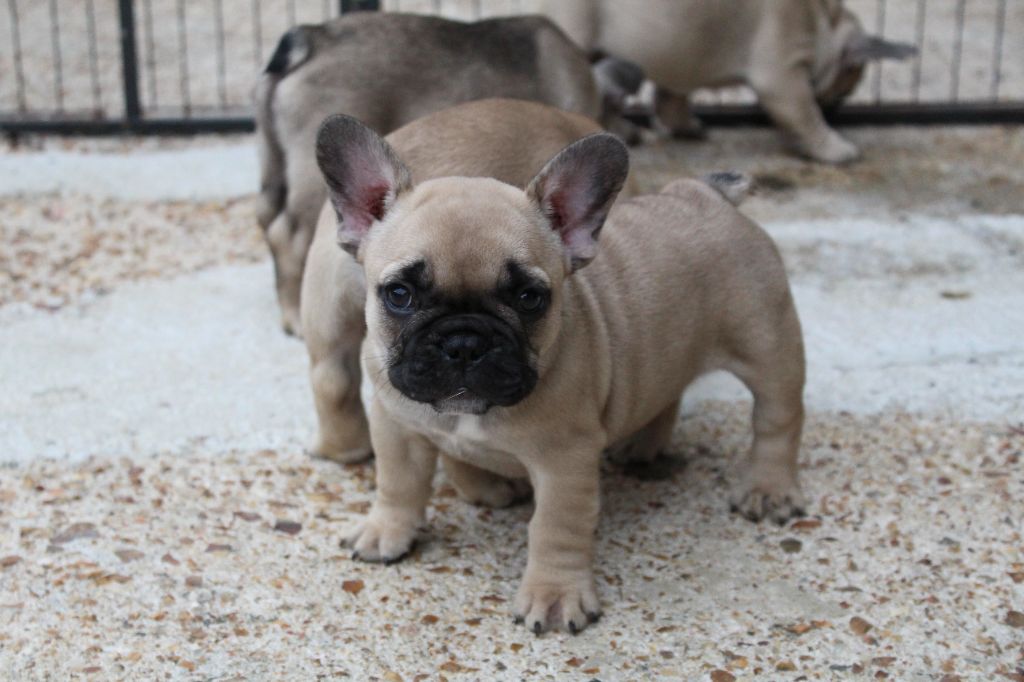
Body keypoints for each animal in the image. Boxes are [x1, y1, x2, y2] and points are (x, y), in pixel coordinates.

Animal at [255, 12, 639, 336]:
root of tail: (309, 38)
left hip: (273, 160)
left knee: (266, 217)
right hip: (308, 177)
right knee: (288, 235)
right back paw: (293, 315)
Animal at [305, 98, 806, 633]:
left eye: (529, 297)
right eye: (398, 294)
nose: (464, 341)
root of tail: (706, 194)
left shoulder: (564, 461)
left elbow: (555, 526)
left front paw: (555, 594)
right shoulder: (397, 426)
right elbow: (397, 482)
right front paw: (386, 532)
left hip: (768, 345)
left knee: (778, 418)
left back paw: (769, 490)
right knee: (666, 391)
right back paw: (640, 446)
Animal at [543, 0, 916, 163]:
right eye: (845, 88)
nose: (835, 111)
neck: (823, 21)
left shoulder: (684, 57)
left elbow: (673, 96)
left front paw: (685, 126)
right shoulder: (783, 71)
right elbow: (804, 114)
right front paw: (834, 147)